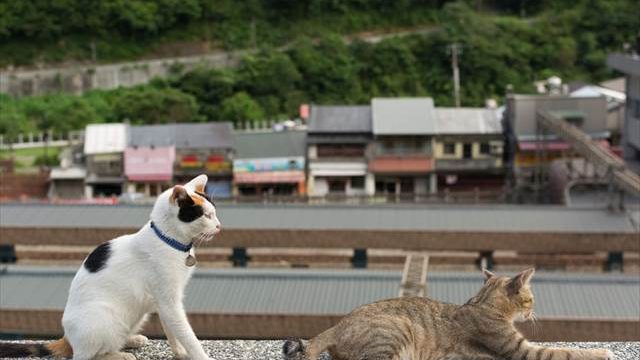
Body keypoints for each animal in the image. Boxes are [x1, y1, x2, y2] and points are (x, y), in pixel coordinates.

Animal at [0, 175, 220, 360]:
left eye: (215, 213)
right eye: (206, 216)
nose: (219, 226)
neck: (169, 240)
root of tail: (68, 339)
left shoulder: (166, 302)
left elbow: (172, 331)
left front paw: (180, 352)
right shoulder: (169, 301)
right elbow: (186, 333)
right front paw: (199, 355)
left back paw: (132, 340)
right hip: (105, 319)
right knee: (87, 356)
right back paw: (120, 355)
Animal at [282, 268, 612, 358]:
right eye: (531, 299)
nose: (534, 311)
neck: (482, 303)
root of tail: (337, 325)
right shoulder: (521, 351)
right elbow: (567, 352)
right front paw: (603, 352)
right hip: (395, 334)